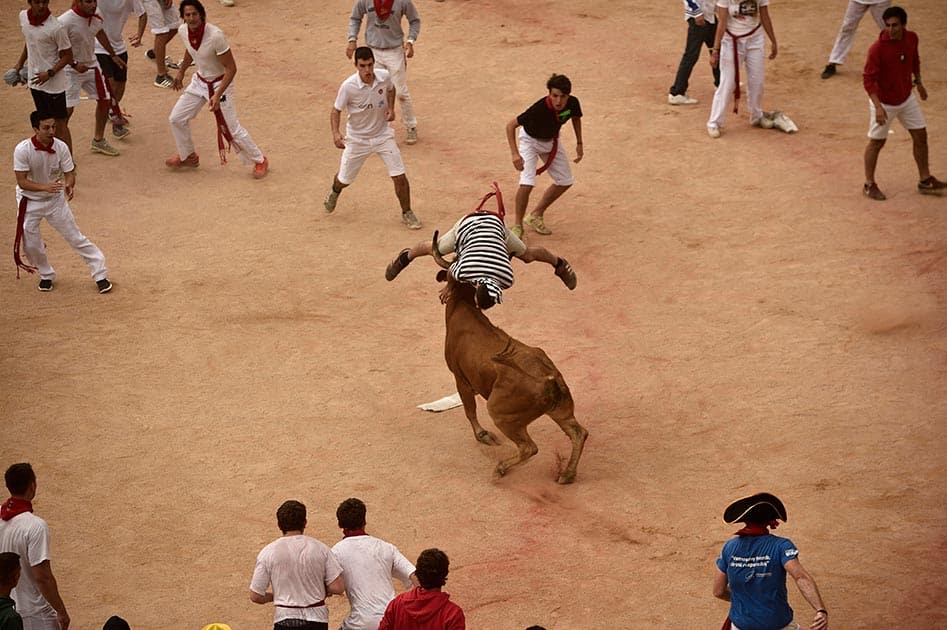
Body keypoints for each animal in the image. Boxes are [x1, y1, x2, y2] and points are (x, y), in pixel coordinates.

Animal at [432, 237, 592, 484]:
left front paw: (483, 436)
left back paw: (501, 468)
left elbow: (469, 410)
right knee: (578, 433)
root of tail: (550, 379)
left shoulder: (460, 379)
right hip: (561, 410)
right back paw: (567, 474)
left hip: (501, 414)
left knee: (529, 448)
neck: (463, 306)